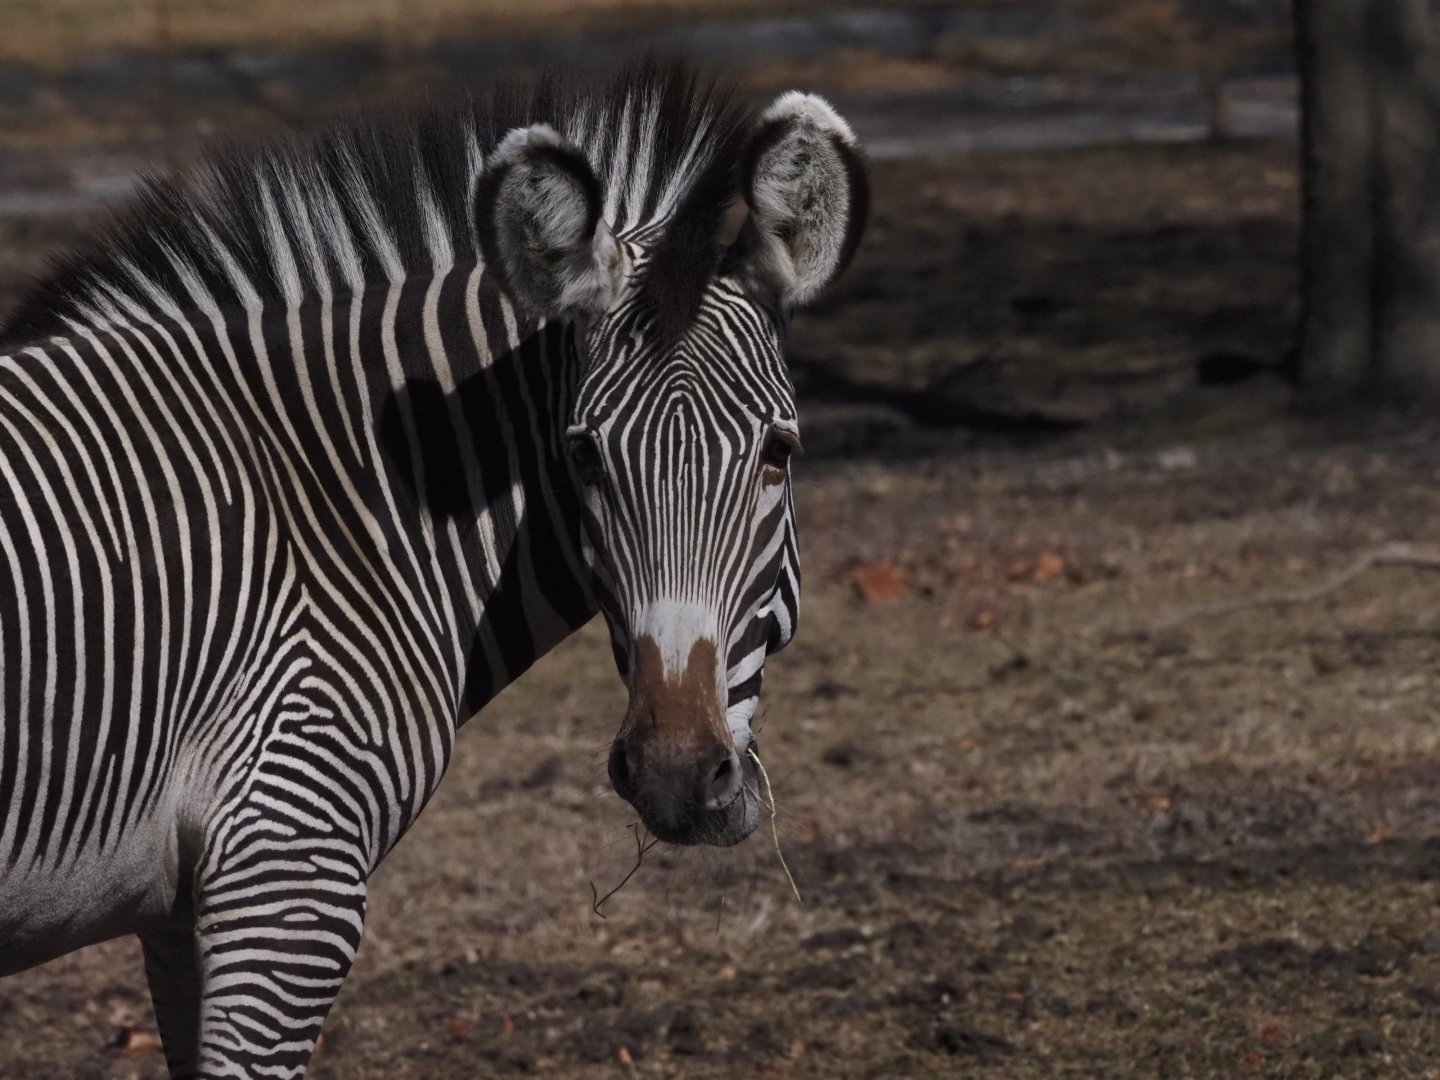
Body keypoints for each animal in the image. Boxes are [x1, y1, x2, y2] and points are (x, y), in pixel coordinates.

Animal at [0, 59, 867, 1076]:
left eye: (779, 452)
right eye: (581, 455)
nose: (678, 778)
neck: (331, 507)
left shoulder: (179, 912)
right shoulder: (287, 874)